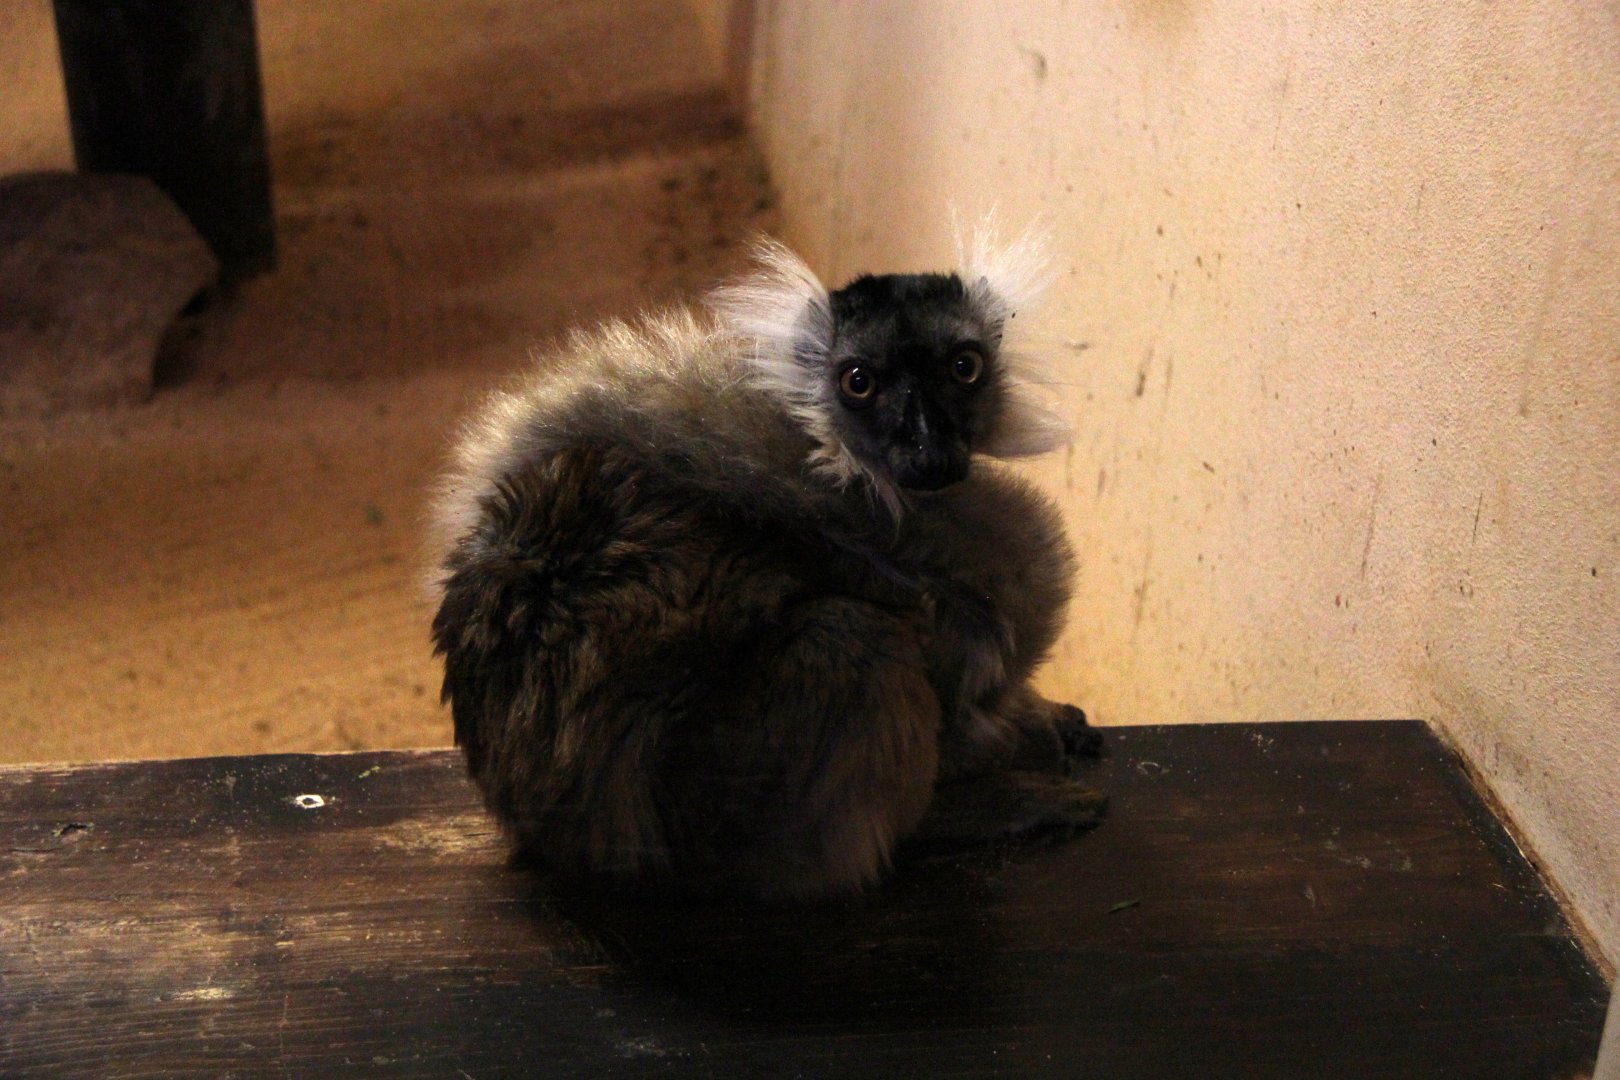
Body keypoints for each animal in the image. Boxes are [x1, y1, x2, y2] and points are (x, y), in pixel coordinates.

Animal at [429, 228, 1104, 900]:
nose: (929, 451)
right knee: (847, 640)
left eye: (965, 368)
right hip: (714, 807)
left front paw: (1037, 717)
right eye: (859, 382)